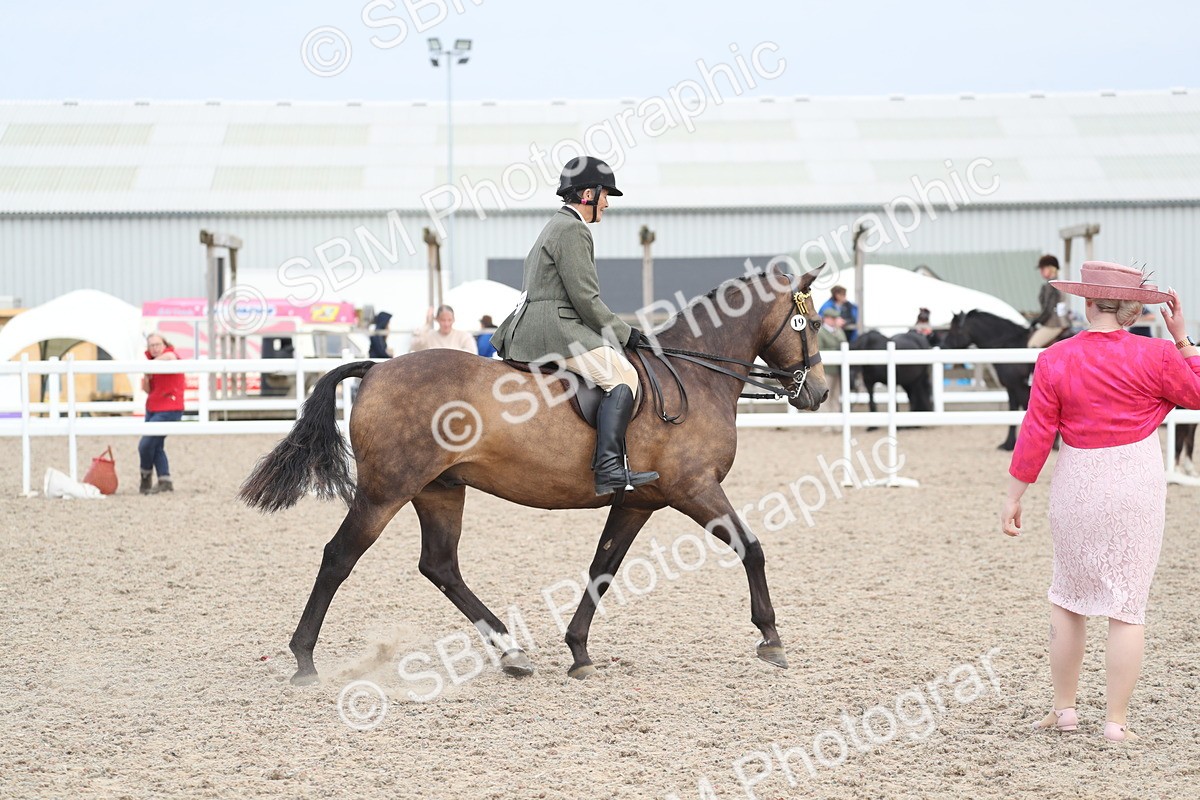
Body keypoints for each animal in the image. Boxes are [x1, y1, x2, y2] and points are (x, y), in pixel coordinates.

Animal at [239, 267, 829, 686]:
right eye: (815, 323)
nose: (820, 393)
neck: (693, 373)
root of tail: (379, 367)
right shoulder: (695, 488)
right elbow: (751, 548)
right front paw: (771, 638)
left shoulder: (637, 501)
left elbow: (602, 569)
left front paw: (579, 651)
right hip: (386, 492)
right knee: (339, 558)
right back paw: (304, 661)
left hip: (439, 490)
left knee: (440, 566)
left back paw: (511, 650)